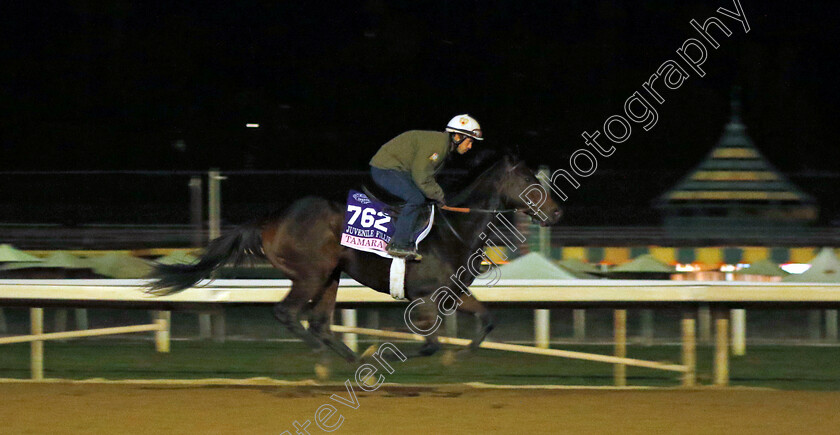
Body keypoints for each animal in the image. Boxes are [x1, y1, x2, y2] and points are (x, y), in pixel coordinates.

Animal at [148, 155, 560, 362]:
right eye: (529, 181)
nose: (556, 213)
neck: (453, 227)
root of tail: (270, 219)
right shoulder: (426, 296)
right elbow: (429, 340)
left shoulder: (452, 292)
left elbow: (487, 320)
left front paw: (459, 355)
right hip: (311, 274)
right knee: (289, 314)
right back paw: (329, 359)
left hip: (331, 275)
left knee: (318, 323)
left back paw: (349, 359)